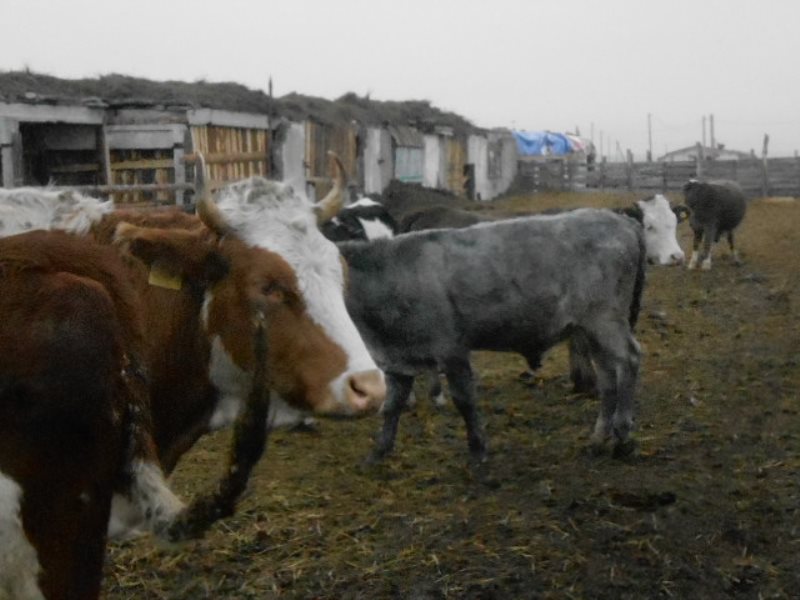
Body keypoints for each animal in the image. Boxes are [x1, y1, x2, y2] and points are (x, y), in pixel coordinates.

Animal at [336, 210, 644, 464]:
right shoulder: (399, 359)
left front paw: (477, 450)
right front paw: (378, 452)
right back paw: (598, 438)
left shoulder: (451, 350)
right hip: (590, 330)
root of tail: (621, 220)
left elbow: (464, 400)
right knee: (607, 376)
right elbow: (391, 407)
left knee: (629, 359)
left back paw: (623, 436)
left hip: (605, 320)